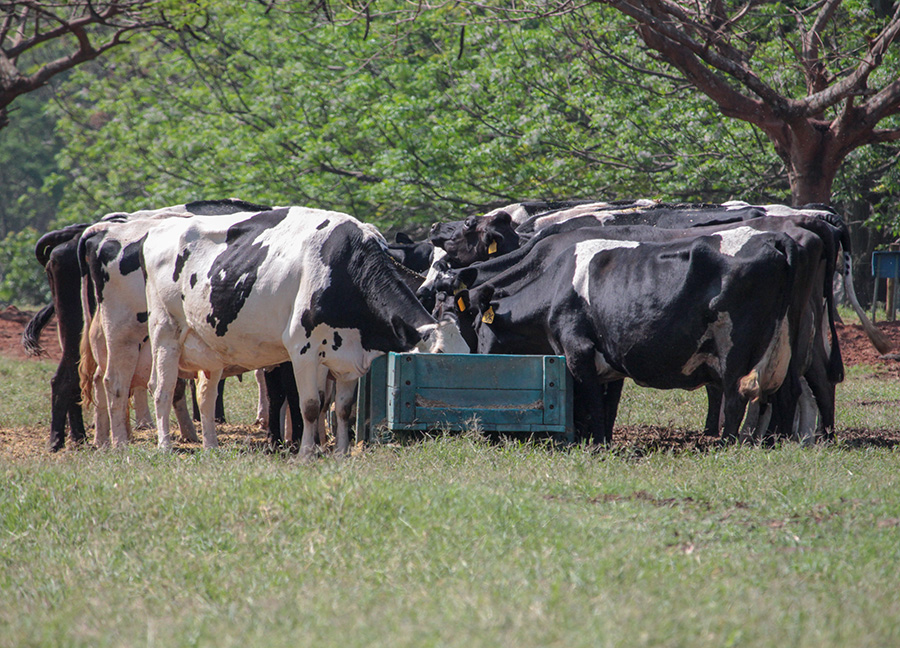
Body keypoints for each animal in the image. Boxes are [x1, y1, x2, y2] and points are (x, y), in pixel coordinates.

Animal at [139, 206, 464, 456]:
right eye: (438, 353)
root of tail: (159, 230)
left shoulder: (349, 358)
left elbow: (343, 409)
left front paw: (341, 453)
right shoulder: (303, 350)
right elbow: (309, 405)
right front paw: (307, 453)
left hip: (209, 347)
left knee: (206, 396)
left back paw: (211, 447)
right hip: (166, 332)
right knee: (162, 388)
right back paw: (165, 446)